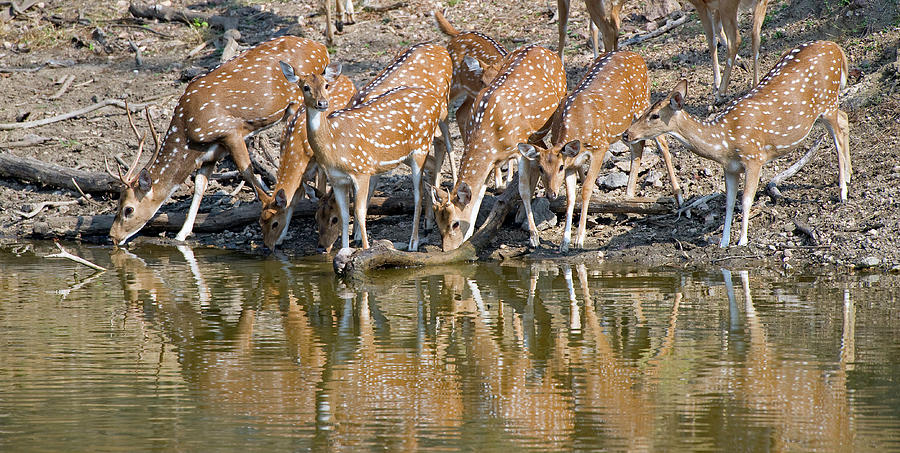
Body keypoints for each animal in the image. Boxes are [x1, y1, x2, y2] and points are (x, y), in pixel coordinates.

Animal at [107, 36, 328, 245]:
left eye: (128, 209)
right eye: (117, 205)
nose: (113, 237)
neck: (189, 135)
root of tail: (321, 48)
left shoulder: (230, 131)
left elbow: (247, 171)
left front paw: (269, 200)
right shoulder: (211, 152)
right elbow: (199, 185)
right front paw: (181, 234)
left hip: (298, 103)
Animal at [282, 60, 446, 251]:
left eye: (326, 85)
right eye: (305, 87)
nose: (322, 103)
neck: (333, 147)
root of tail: (435, 99)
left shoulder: (361, 170)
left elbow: (359, 212)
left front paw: (366, 249)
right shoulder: (337, 180)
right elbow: (346, 214)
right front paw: (345, 249)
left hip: (421, 146)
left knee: (418, 194)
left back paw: (413, 243)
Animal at [428, 44, 568, 251]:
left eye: (454, 223)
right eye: (438, 223)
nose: (448, 249)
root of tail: (546, 50)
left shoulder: (519, 147)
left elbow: (523, 189)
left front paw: (534, 237)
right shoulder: (492, 160)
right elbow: (478, 196)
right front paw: (471, 236)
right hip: (534, 135)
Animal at [520, 52, 684, 254]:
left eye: (559, 167)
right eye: (541, 168)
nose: (551, 194)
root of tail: (636, 55)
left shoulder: (600, 146)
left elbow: (586, 189)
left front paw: (579, 240)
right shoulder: (573, 163)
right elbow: (570, 198)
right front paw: (564, 243)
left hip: (643, 103)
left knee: (662, 143)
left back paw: (678, 198)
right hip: (628, 126)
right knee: (637, 146)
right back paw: (628, 202)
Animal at [624, 41, 852, 247]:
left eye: (654, 115)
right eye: (643, 111)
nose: (627, 134)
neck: (724, 142)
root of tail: (836, 48)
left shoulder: (754, 158)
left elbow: (746, 200)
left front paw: (742, 240)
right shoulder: (730, 168)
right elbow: (729, 203)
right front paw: (723, 242)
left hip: (828, 102)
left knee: (837, 137)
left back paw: (842, 191)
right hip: (827, 108)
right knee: (844, 118)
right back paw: (849, 175)